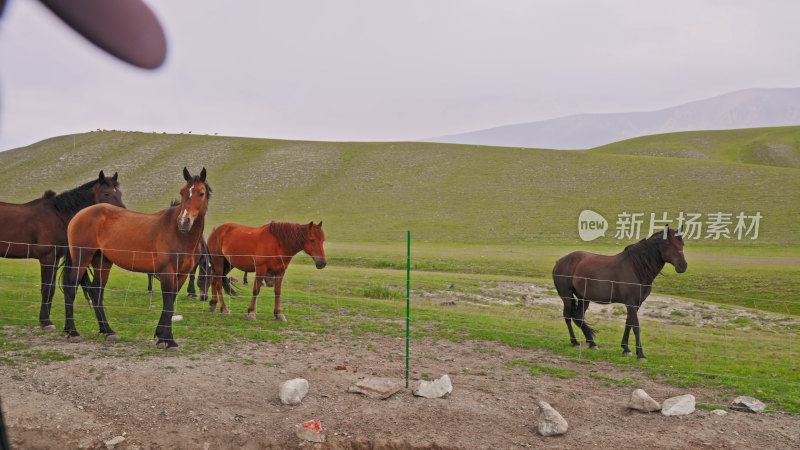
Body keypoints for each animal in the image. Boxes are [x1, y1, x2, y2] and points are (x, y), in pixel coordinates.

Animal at [0, 171, 123, 328]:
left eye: (119, 193)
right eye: (106, 194)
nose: (123, 212)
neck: (58, 216)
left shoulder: (56, 258)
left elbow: (51, 289)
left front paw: (45, 319)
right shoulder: (47, 258)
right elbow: (46, 289)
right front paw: (46, 322)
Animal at [61, 169, 209, 352]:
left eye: (201, 193)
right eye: (182, 192)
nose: (184, 221)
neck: (179, 234)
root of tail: (79, 215)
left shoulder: (182, 275)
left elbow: (171, 303)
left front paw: (161, 337)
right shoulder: (168, 272)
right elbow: (168, 304)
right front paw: (170, 340)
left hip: (102, 263)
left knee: (96, 293)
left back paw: (107, 331)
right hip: (82, 259)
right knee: (70, 288)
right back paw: (73, 332)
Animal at [552, 227, 688, 360]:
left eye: (682, 244)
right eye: (669, 244)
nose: (683, 266)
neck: (636, 268)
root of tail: (560, 261)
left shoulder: (637, 304)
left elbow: (629, 324)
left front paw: (626, 348)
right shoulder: (631, 303)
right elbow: (636, 326)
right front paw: (641, 354)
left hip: (583, 298)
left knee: (579, 317)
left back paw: (592, 343)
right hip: (567, 296)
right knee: (567, 316)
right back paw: (575, 342)